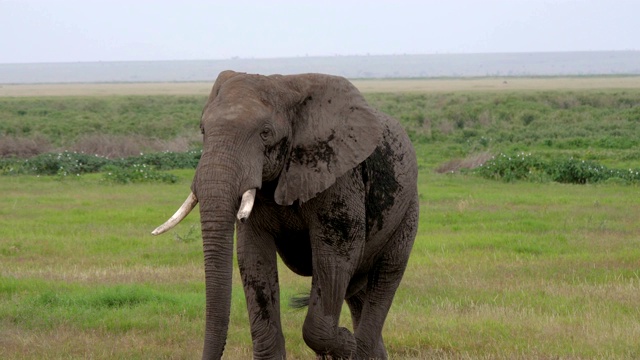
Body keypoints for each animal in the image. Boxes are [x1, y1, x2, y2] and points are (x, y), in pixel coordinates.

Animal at [151, 71, 420, 360]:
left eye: (265, 134)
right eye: (202, 130)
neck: (286, 85)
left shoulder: (339, 176)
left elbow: (335, 256)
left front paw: (345, 342)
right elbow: (253, 257)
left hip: (408, 209)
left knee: (385, 277)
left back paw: (357, 345)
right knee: (357, 292)